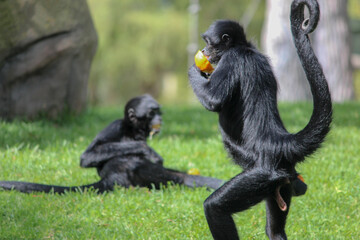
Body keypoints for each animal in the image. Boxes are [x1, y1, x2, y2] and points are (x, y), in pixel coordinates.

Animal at [0, 94, 224, 194]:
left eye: (159, 112)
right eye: (152, 112)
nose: (159, 118)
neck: (132, 131)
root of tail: (112, 177)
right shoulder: (116, 125)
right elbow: (86, 157)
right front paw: (148, 150)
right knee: (174, 176)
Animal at [188, 0, 332, 240]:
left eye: (209, 43)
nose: (205, 51)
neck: (246, 48)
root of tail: (276, 139)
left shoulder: (232, 58)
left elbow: (213, 101)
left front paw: (194, 70)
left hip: (264, 175)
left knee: (215, 207)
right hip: (280, 180)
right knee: (275, 231)